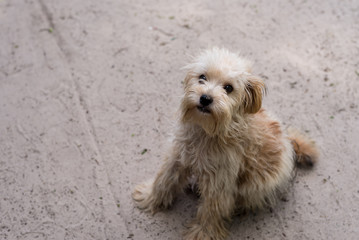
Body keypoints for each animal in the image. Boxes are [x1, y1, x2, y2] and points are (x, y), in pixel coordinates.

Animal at [134, 47, 320, 239]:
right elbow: (163, 179)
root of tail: (289, 142)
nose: (205, 98)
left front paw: (203, 234)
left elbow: (211, 210)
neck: (207, 132)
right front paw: (150, 197)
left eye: (228, 88)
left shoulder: (219, 181)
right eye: (202, 77)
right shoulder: (177, 156)